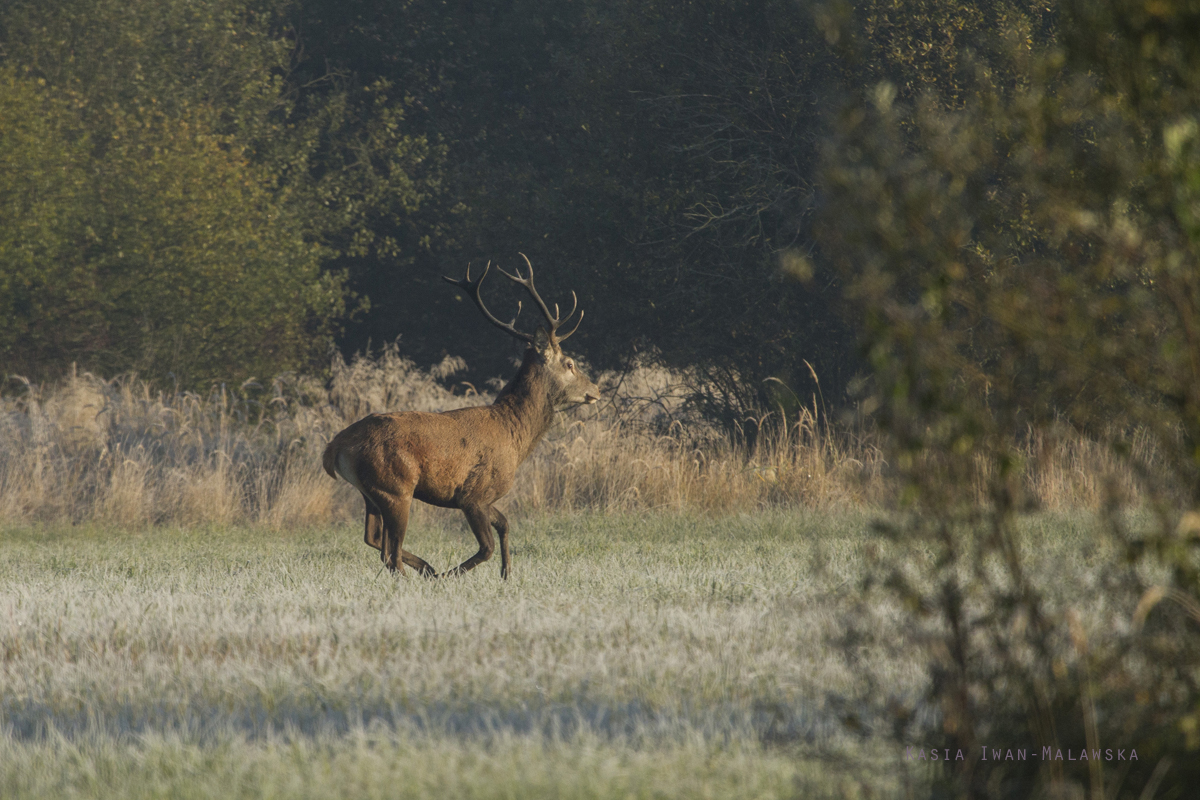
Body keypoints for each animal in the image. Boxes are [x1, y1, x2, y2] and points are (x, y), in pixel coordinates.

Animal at [321, 257, 597, 582]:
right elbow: (486, 547)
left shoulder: (486, 499)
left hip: (372, 493)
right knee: (390, 552)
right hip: (395, 487)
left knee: (375, 540)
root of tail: (334, 447)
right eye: (570, 363)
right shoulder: (472, 494)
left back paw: (426, 567)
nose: (595, 390)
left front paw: (507, 574)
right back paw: (424, 573)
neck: (515, 437)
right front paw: (449, 576)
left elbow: (505, 524)